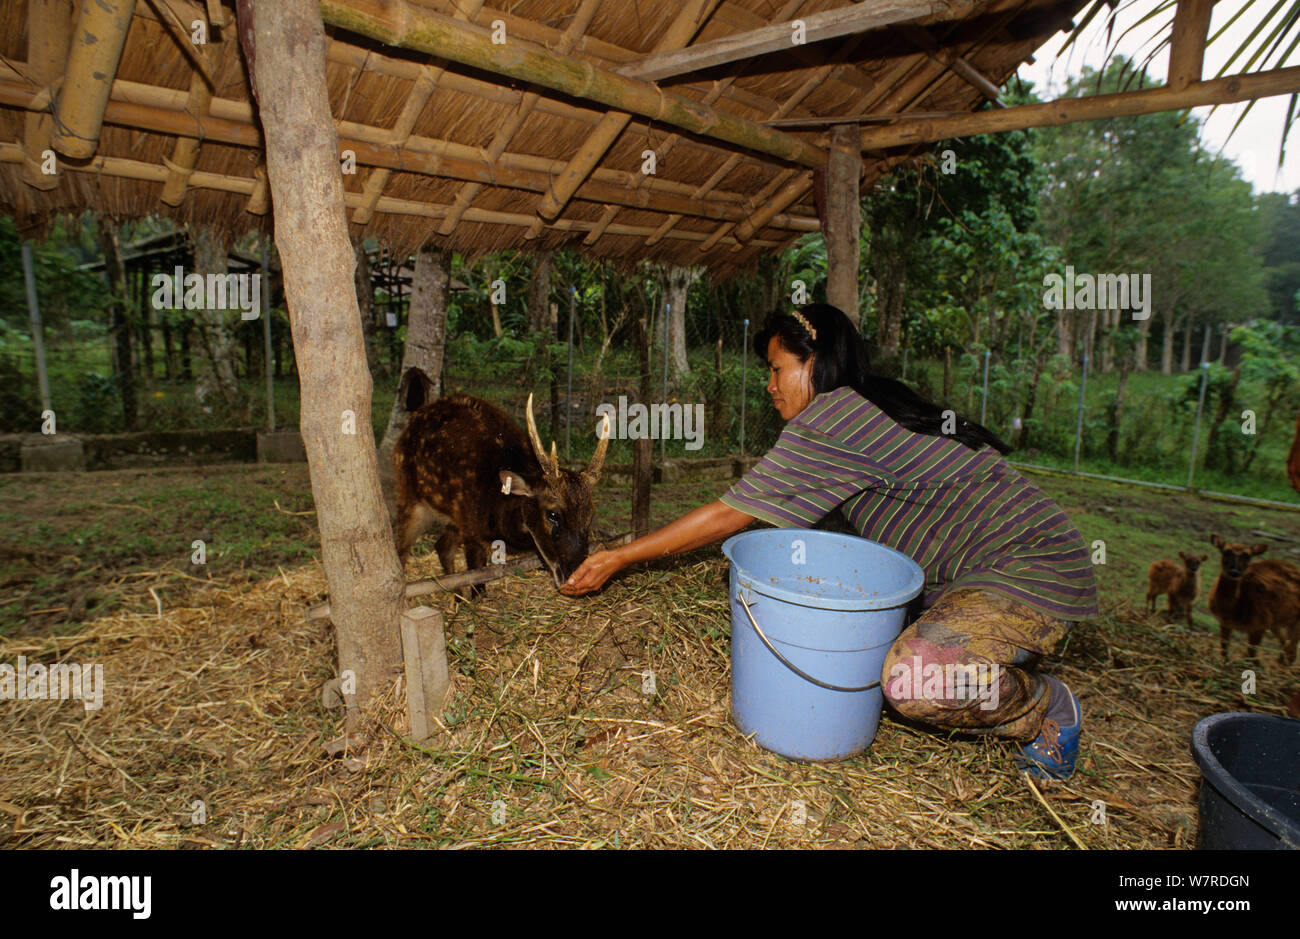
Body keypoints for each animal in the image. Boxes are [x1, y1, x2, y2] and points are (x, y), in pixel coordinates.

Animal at [1206, 533, 1300, 665]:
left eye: (1248, 555)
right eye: (1226, 551)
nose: (1234, 571)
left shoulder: (1260, 623)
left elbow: (1251, 654)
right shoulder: (1224, 623)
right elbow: (1224, 648)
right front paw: (1224, 663)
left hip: (1294, 620)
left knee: (1292, 648)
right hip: (1278, 623)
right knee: (1286, 645)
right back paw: (1280, 661)